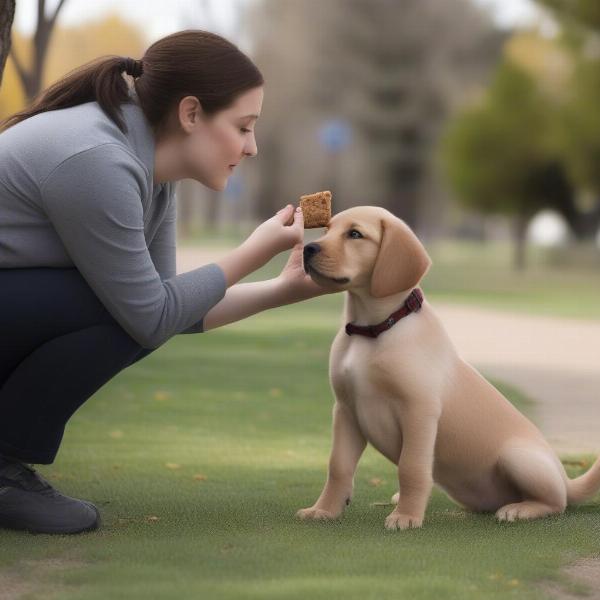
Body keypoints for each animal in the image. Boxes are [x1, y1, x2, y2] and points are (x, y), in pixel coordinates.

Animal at [296, 206, 600, 528]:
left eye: (355, 234)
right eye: (326, 229)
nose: (308, 248)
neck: (373, 330)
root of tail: (566, 479)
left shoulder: (419, 411)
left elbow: (411, 468)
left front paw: (406, 516)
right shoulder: (345, 409)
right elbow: (338, 466)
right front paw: (324, 510)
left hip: (519, 458)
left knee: (557, 502)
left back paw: (520, 509)